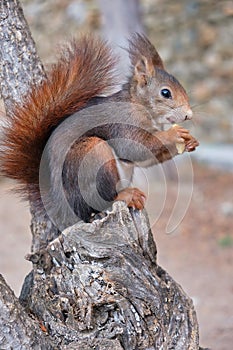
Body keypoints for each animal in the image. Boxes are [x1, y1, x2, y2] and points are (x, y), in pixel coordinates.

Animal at [0, 34, 198, 228]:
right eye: (166, 93)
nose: (189, 115)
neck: (137, 104)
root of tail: (62, 209)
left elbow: (147, 158)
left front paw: (190, 142)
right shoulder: (123, 123)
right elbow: (135, 148)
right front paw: (173, 135)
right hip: (93, 156)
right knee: (97, 203)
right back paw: (126, 195)